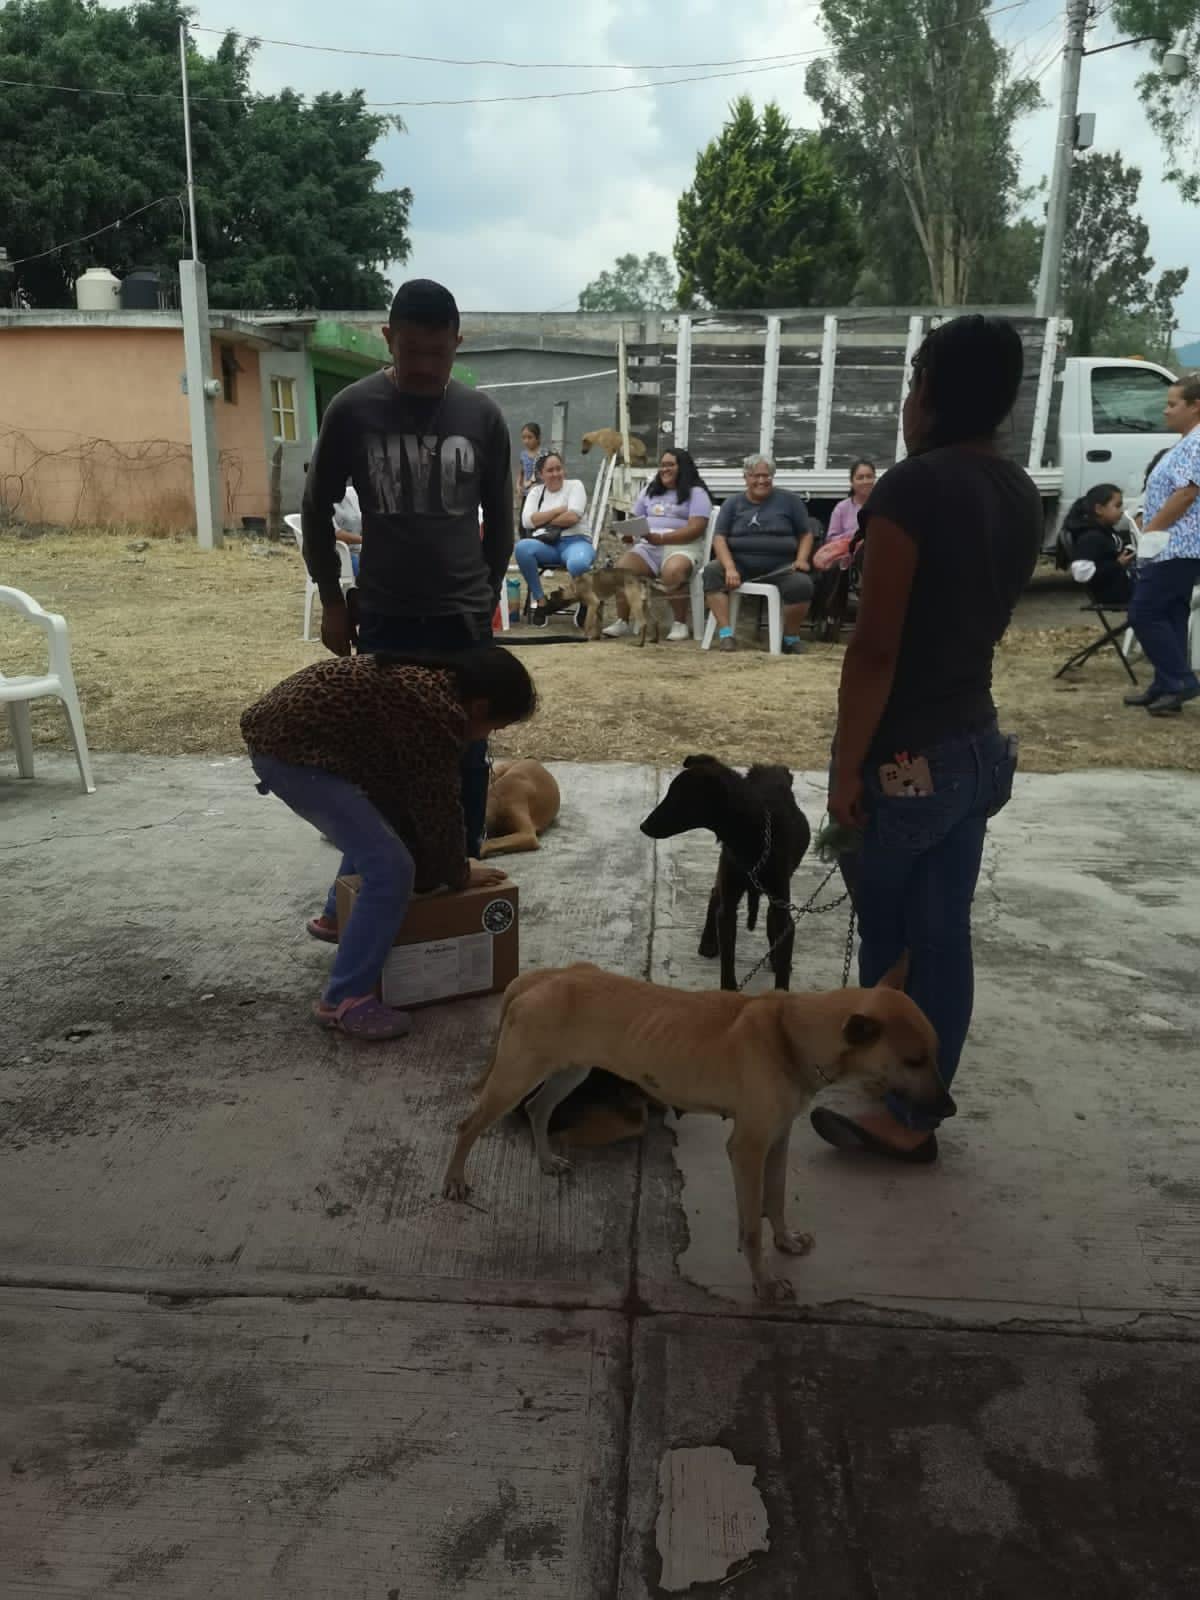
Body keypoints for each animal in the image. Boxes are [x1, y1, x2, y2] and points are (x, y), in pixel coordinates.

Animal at [448, 960, 947, 1299]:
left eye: (934, 1054)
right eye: (913, 1060)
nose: (949, 1107)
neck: (790, 1033)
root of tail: (540, 977)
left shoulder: (778, 1138)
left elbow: (776, 1197)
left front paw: (785, 1240)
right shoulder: (747, 1148)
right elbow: (751, 1226)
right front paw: (764, 1283)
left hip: (569, 1069)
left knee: (538, 1110)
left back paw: (547, 1160)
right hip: (515, 1076)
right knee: (468, 1123)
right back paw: (454, 1181)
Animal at [643, 752, 812, 985]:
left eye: (678, 799)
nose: (642, 826)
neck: (751, 836)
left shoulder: (780, 900)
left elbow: (783, 966)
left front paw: (780, 970)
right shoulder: (729, 906)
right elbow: (727, 962)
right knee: (715, 894)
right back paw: (708, 942)